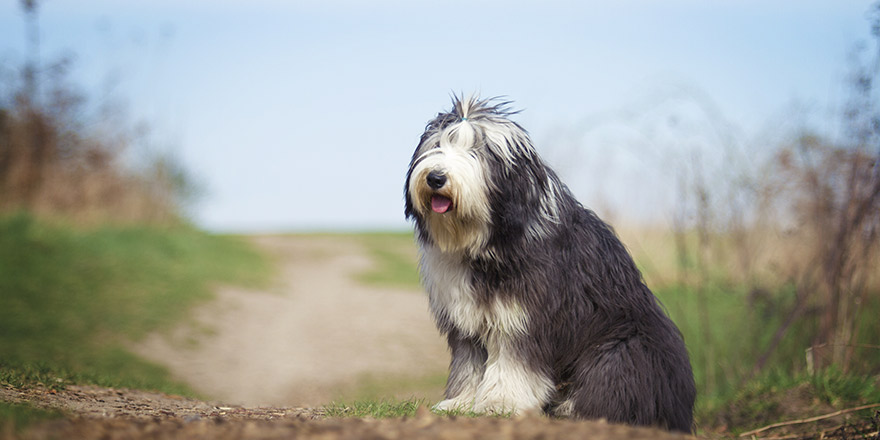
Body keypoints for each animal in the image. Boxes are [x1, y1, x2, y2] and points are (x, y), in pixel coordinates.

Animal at [404, 95, 696, 434]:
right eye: (437, 145)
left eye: (478, 150)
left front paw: (499, 403)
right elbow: (469, 363)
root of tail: (682, 409)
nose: (435, 177)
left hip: (625, 347)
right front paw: (461, 402)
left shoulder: (525, 317)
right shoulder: (467, 318)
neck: (488, 242)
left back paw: (571, 409)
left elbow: (514, 364)